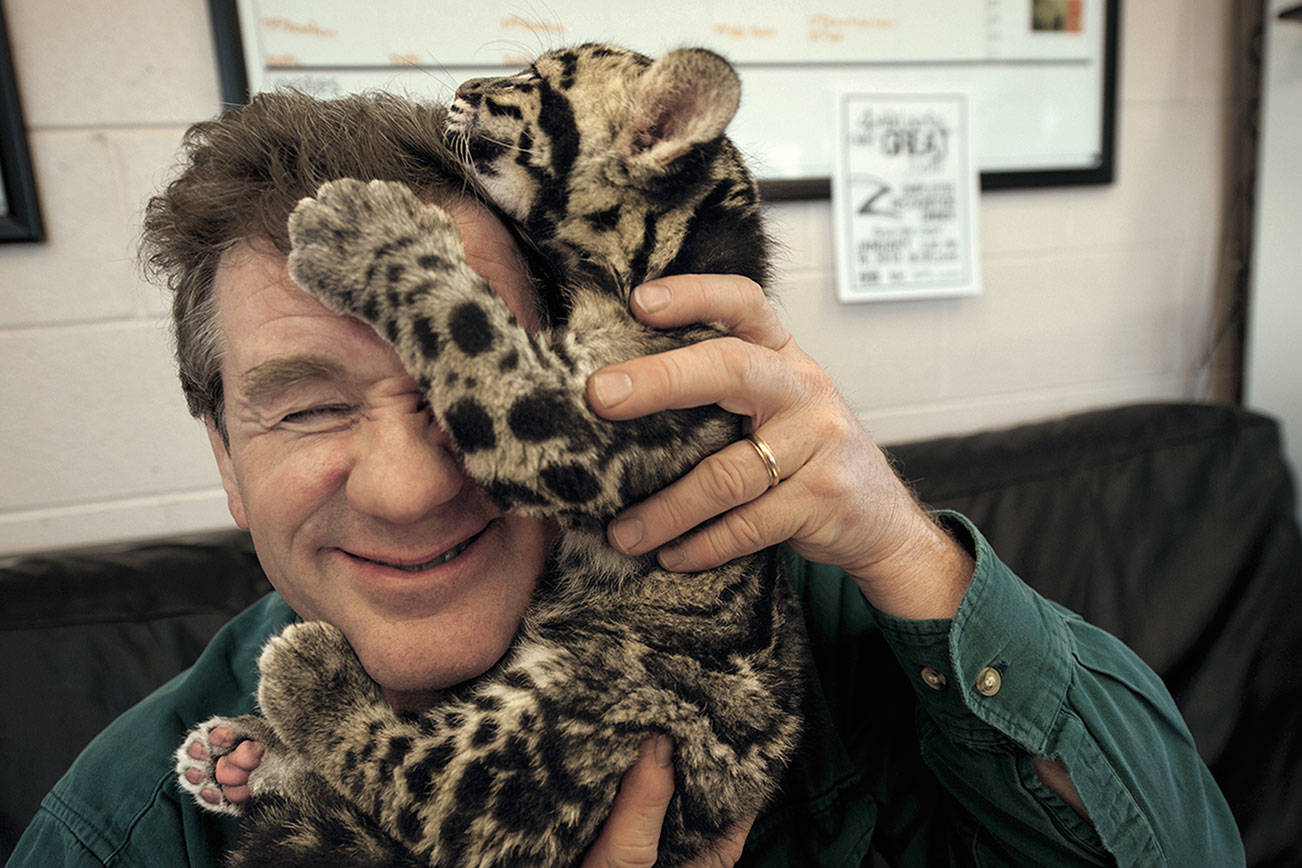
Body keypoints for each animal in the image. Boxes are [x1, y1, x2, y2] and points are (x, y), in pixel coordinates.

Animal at [176, 43, 807, 867]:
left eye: (532, 82)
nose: (464, 86)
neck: (677, 253)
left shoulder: (578, 417)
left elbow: (464, 321)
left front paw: (372, 234)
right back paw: (238, 753)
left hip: (589, 710)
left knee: (426, 791)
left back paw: (302, 689)